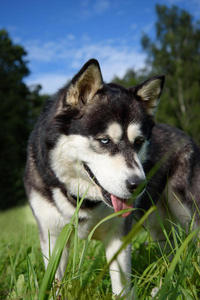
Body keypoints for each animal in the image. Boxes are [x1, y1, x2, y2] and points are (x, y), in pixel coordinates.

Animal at [23, 58, 200, 296]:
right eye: (104, 141)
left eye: (138, 142)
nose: (138, 185)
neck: (83, 201)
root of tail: (186, 135)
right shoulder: (51, 237)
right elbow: (54, 284)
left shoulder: (118, 236)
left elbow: (121, 288)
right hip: (157, 222)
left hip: (185, 210)